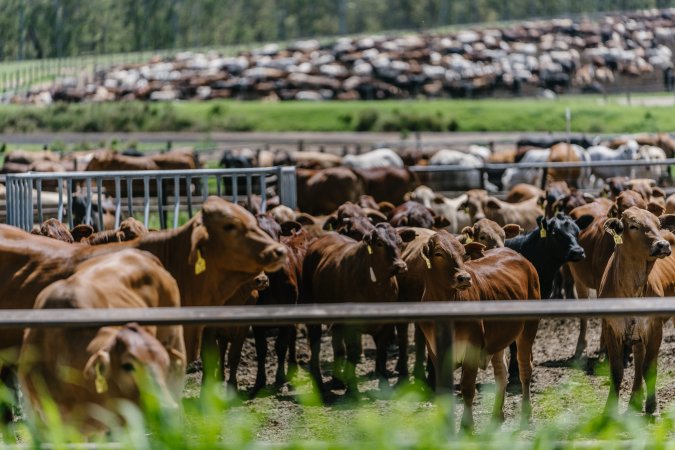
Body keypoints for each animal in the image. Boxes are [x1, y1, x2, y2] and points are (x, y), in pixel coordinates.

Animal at [600, 207, 672, 414]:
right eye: (633, 225)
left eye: (658, 225)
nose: (662, 245)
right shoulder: (610, 328)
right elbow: (617, 371)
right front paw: (609, 410)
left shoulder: (655, 327)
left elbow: (650, 368)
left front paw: (652, 406)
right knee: (639, 359)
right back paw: (634, 401)